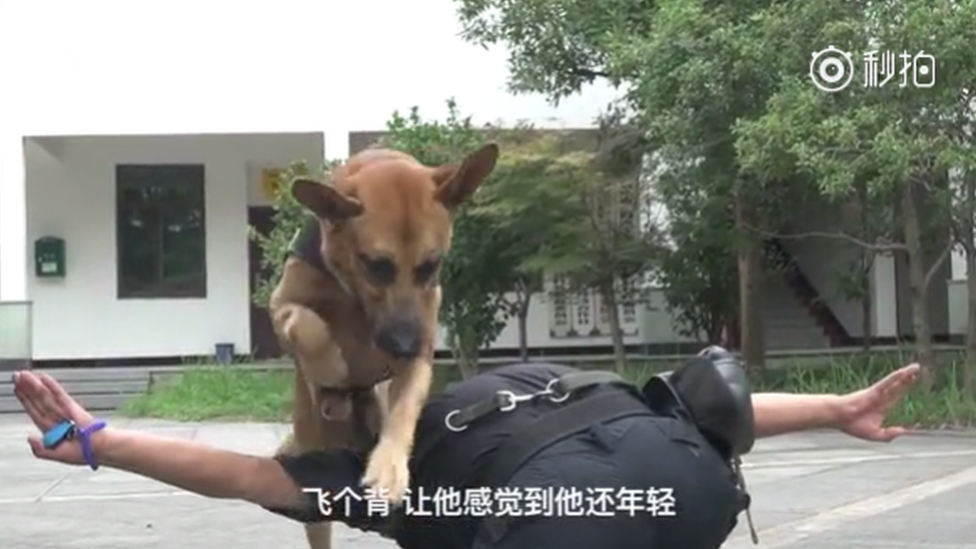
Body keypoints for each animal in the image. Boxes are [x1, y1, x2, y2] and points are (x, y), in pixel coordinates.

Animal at [266, 142, 500, 548]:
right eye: (376, 265)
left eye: (431, 265)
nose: (405, 344)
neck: (354, 296)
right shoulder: (281, 305)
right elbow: (307, 325)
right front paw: (331, 366)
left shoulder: (417, 355)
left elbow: (404, 409)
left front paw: (390, 467)